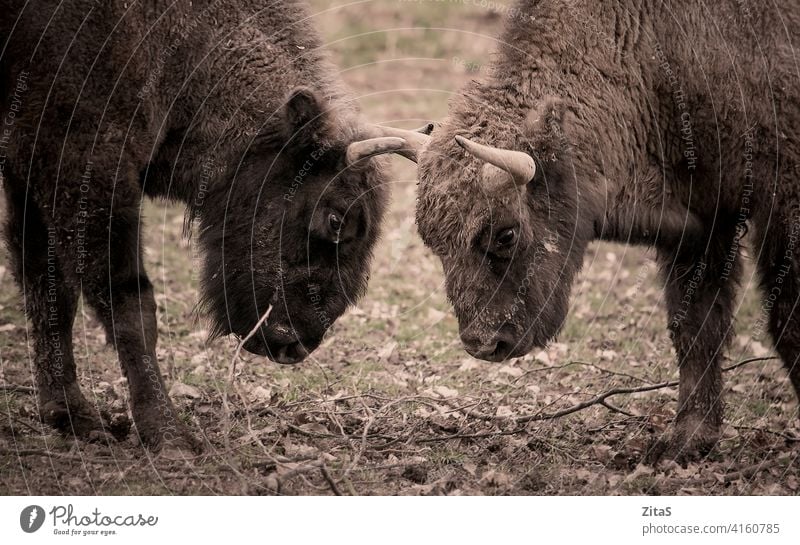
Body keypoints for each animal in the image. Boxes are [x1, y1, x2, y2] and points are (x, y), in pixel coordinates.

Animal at [3, 0, 428, 450]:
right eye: (335, 219)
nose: (299, 344)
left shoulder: (27, 170)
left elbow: (47, 285)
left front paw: (70, 414)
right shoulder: (86, 166)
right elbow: (128, 303)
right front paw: (168, 434)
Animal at [416, 0, 800, 462]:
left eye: (505, 234)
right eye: (433, 242)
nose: (483, 344)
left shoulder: (780, 205)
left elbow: (786, 323)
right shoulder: (702, 224)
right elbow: (695, 327)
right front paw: (685, 440)